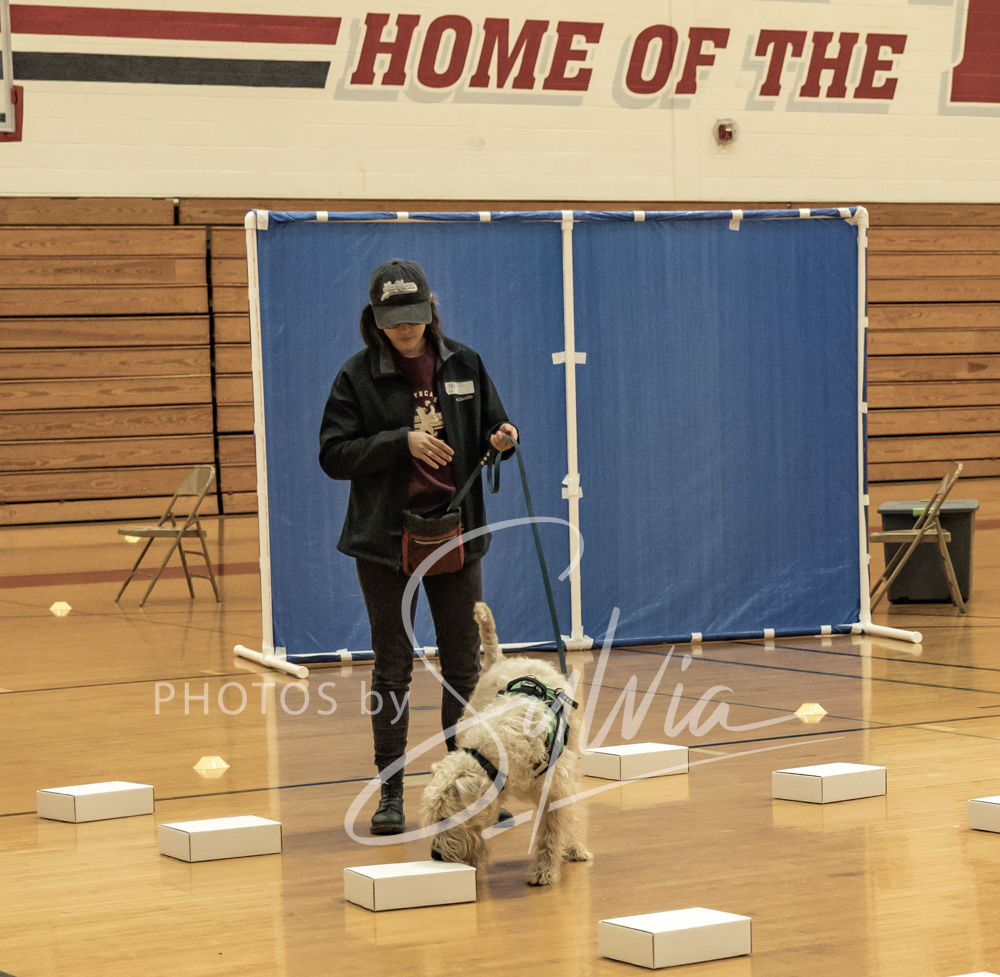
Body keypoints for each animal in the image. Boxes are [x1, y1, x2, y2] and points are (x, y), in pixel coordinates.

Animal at [419, 601, 592, 885]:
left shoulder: (557, 788)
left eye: (446, 818)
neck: (494, 755)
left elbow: (554, 830)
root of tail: (502, 660)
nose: (436, 855)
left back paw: (574, 848)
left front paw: (544, 869)